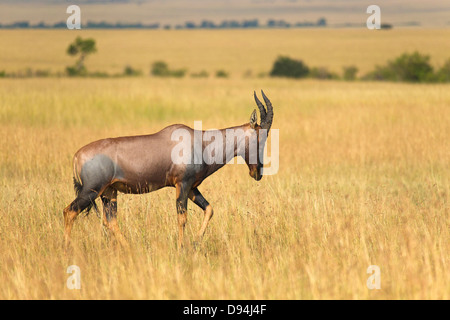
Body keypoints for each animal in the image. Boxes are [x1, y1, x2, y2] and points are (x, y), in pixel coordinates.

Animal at [62, 91, 274, 249]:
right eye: (260, 137)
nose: (257, 173)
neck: (199, 141)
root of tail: (77, 156)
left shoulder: (192, 188)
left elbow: (209, 209)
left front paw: (195, 243)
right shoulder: (182, 184)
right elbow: (182, 217)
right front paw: (181, 248)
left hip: (109, 193)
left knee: (111, 221)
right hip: (91, 190)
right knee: (69, 211)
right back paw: (67, 249)